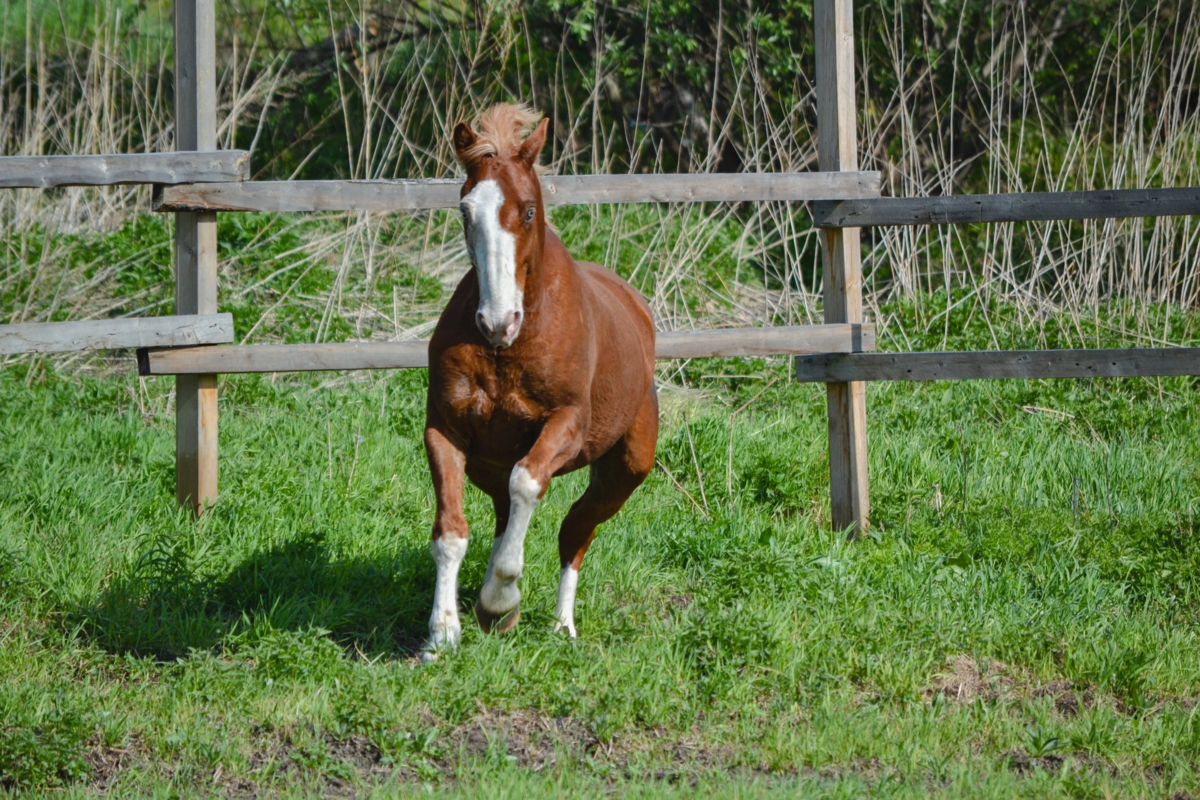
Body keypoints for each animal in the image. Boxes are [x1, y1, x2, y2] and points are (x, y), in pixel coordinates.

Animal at [422, 104, 662, 657]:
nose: (496, 322)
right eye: (465, 211)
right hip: (487, 465)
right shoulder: (444, 430)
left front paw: (497, 601)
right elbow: (451, 531)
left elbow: (528, 483)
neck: (510, 348)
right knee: (505, 517)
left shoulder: (565, 425)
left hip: (625, 471)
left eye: (528, 211)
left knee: (575, 533)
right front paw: (442, 633)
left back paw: (560, 625)